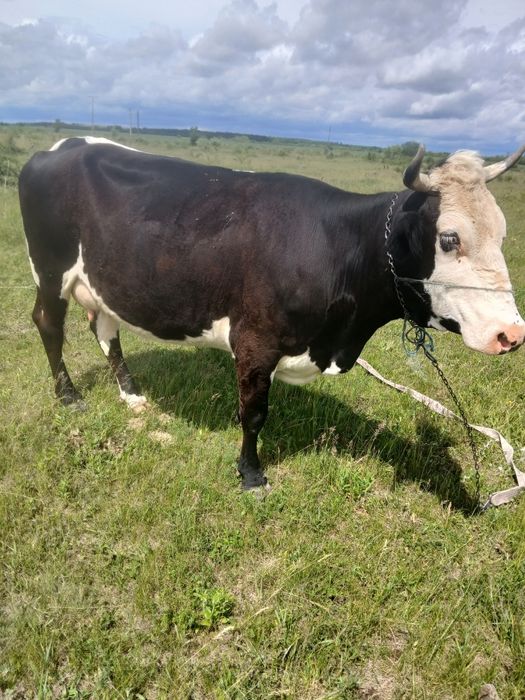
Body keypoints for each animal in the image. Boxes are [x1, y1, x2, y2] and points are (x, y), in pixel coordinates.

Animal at [19, 137, 525, 490]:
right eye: (449, 239)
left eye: (503, 234)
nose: (511, 333)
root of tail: (61, 148)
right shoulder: (254, 340)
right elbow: (254, 414)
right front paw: (250, 473)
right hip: (50, 268)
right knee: (48, 324)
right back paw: (69, 396)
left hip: (101, 282)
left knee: (105, 328)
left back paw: (130, 392)